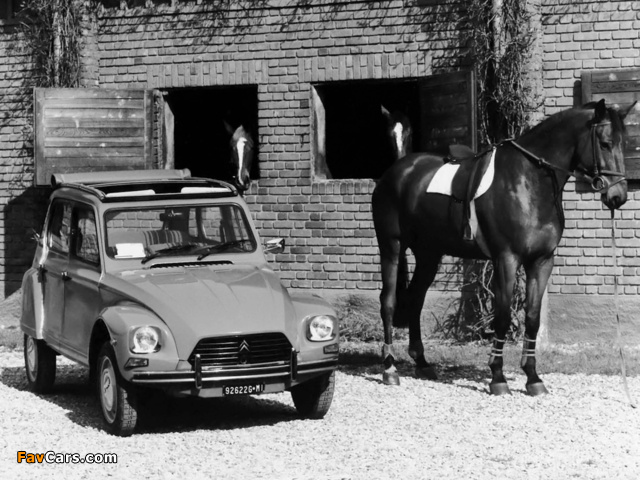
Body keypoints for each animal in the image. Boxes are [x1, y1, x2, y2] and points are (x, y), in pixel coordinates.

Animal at [372, 99, 635, 395]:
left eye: (624, 143)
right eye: (604, 143)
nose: (618, 196)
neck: (528, 181)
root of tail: (397, 171)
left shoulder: (542, 261)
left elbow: (532, 318)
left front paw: (533, 378)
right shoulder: (506, 259)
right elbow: (502, 315)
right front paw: (497, 377)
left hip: (429, 254)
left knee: (416, 299)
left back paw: (422, 363)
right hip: (391, 246)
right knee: (389, 301)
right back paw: (390, 368)